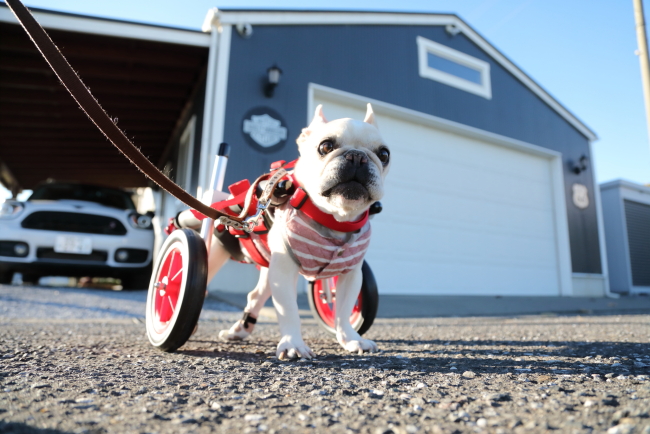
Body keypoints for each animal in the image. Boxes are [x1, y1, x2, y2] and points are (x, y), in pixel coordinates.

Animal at [211, 104, 390, 360]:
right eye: (325, 146)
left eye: (384, 154)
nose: (357, 156)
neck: (335, 220)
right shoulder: (284, 272)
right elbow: (289, 309)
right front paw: (293, 344)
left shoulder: (351, 274)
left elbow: (343, 309)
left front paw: (350, 339)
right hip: (215, 253)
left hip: (269, 268)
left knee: (255, 296)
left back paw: (239, 330)